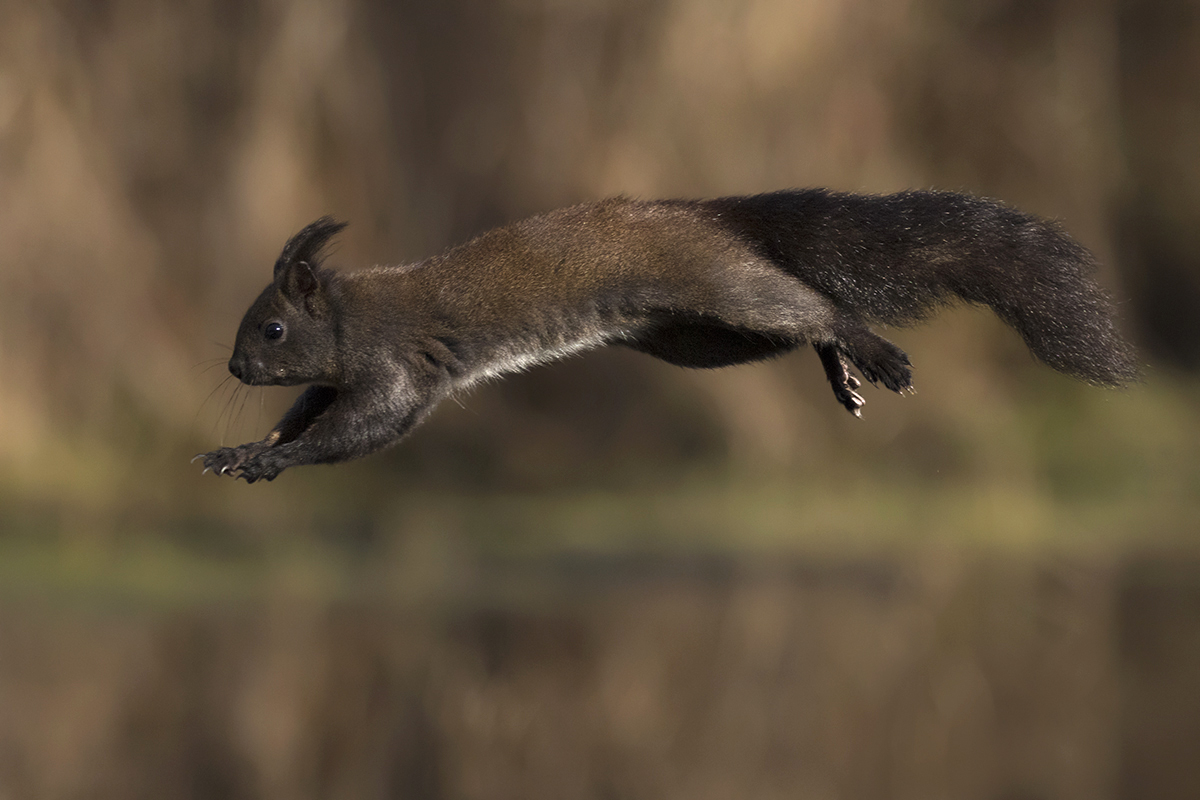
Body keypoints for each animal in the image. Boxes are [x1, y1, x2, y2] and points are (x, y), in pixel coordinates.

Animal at [198, 189, 1138, 482]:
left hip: (718, 288)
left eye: (272, 326)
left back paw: (873, 352)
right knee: (792, 325)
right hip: (694, 338)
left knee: (807, 302)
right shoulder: (337, 377)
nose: (236, 366)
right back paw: (840, 370)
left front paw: (277, 460)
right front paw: (242, 451)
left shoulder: (398, 365)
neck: (354, 315)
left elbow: (364, 427)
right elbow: (309, 415)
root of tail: (710, 216)